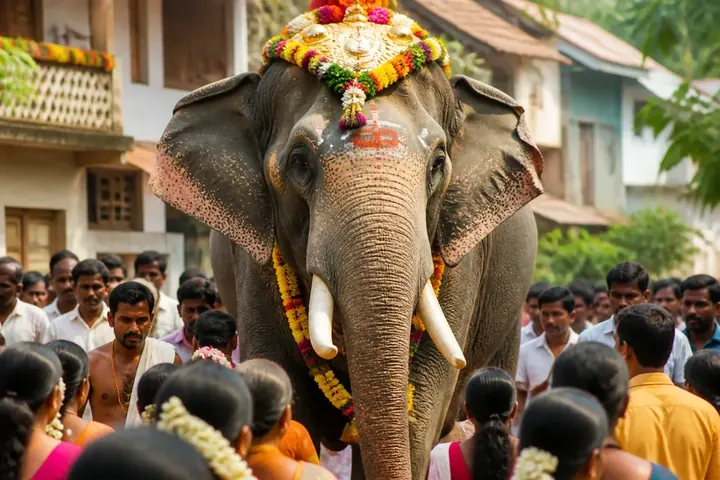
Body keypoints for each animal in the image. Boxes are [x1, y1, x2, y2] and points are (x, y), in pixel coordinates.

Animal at [150, 57, 543, 478]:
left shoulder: (461, 258)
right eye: (299, 161)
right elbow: (284, 388)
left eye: (438, 163)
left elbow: (420, 408)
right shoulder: (254, 262)